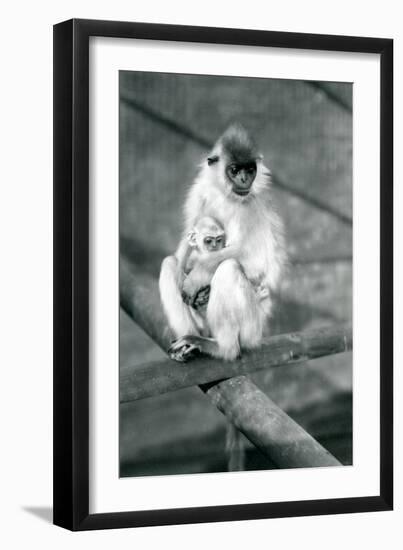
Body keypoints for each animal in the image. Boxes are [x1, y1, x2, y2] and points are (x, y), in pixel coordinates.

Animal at [159, 124, 286, 362]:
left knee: (229, 266)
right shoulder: (200, 191)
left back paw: (223, 348)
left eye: (250, 169)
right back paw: (189, 342)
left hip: (252, 328)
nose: (245, 180)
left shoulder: (250, 206)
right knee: (170, 263)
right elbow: (185, 247)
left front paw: (198, 277)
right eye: (235, 170)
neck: (227, 196)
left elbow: (255, 262)